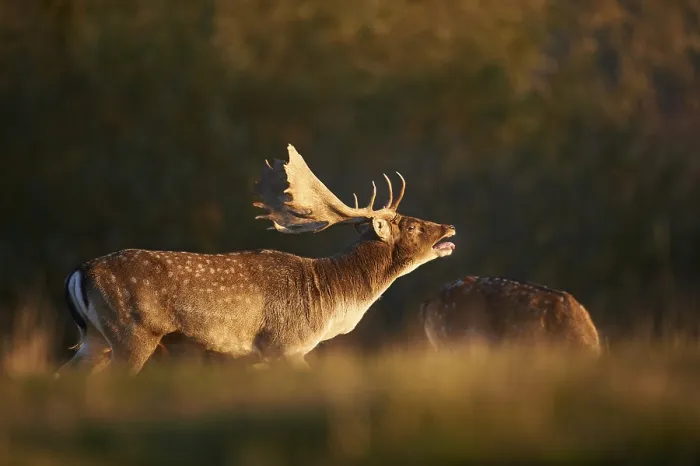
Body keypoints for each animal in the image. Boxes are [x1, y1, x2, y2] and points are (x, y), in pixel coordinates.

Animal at [56, 145, 456, 376]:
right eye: (414, 226)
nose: (449, 227)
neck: (328, 300)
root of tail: (79, 272)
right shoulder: (285, 344)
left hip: (95, 338)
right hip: (133, 334)